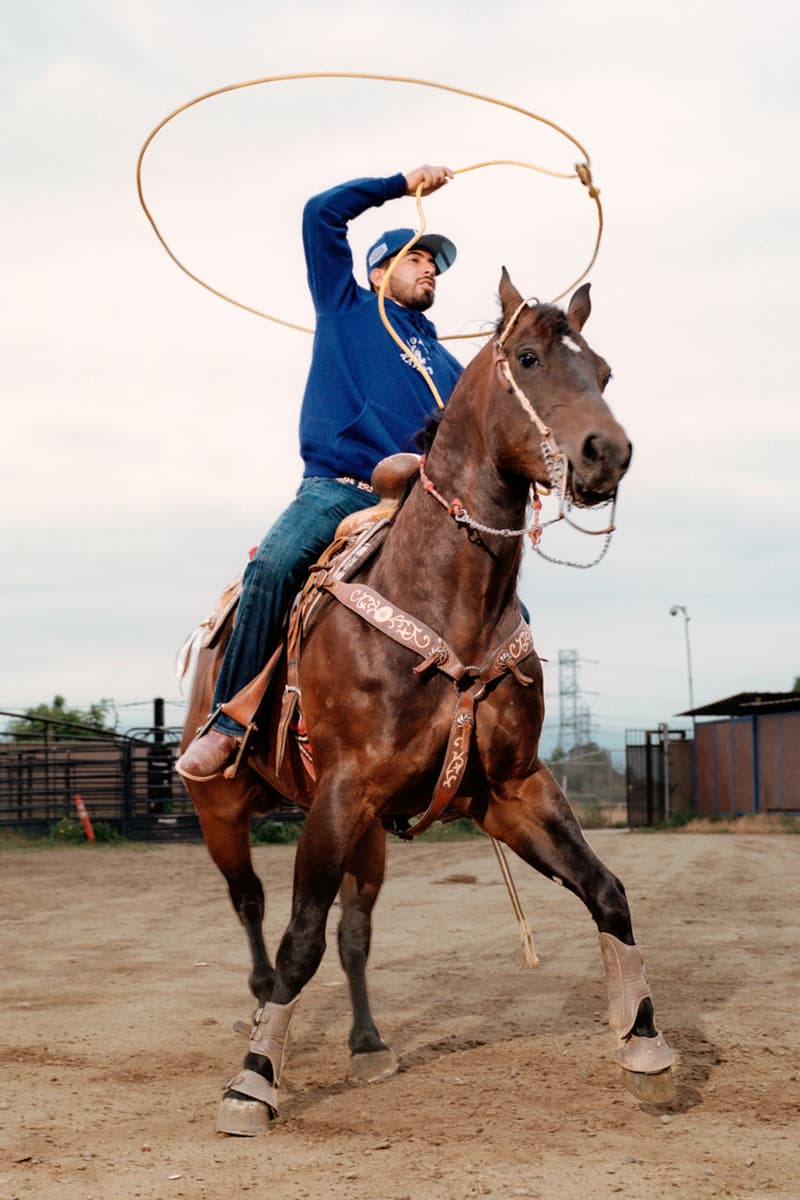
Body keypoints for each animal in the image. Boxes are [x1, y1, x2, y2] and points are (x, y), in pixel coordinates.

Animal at [181, 272, 676, 1132]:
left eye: (605, 371)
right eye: (528, 358)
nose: (606, 453)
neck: (449, 605)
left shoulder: (511, 791)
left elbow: (606, 893)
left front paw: (642, 1042)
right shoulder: (340, 792)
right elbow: (299, 936)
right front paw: (251, 1082)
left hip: (370, 835)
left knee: (355, 932)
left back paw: (367, 1042)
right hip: (224, 809)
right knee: (251, 902)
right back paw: (261, 1006)